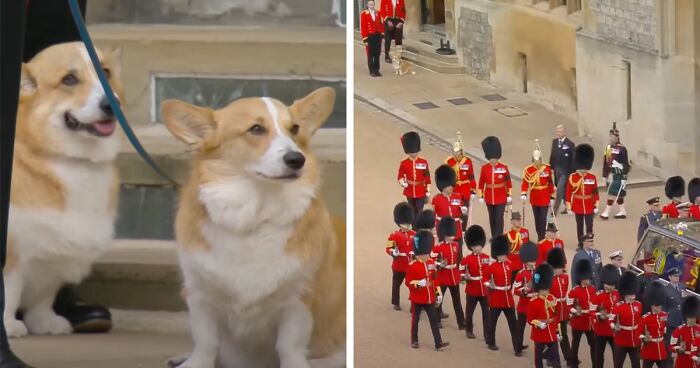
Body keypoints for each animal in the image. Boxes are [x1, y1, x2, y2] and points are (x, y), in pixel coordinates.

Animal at [5, 41, 122, 338]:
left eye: (106, 71)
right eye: (69, 79)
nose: (110, 104)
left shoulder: (56, 249)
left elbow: (44, 295)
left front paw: (45, 322)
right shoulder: (13, 250)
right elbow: (9, 290)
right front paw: (8, 325)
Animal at [159, 87, 344, 368]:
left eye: (295, 128)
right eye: (256, 129)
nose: (297, 159)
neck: (255, 218)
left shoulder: (299, 299)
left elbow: (289, 346)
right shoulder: (200, 294)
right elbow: (205, 342)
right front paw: (195, 362)